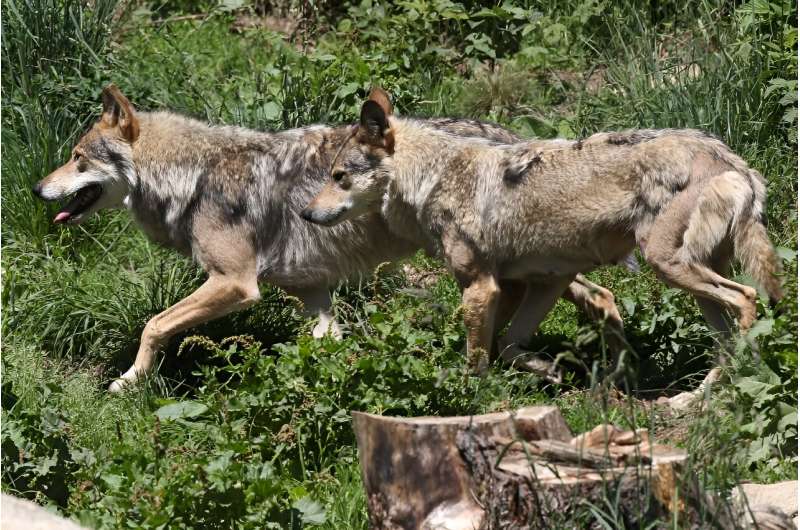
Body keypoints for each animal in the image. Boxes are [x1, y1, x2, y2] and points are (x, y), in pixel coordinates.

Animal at [33, 85, 622, 391]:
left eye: (78, 158)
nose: (37, 188)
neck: (192, 177)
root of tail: (507, 134)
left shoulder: (235, 284)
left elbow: (154, 325)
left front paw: (129, 381)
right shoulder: (313, 295)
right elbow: (326, 345)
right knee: (601, 297)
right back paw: (608, 371)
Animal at [303, 90, 783, 400]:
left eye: (339, 176)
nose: (306, 214)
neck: (433, 178)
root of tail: (728, 158)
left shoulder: (481, 288)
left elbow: (478, 359)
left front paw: (472, 402)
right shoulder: (540, 283)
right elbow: (507, 346)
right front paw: (550, 372)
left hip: (668, 265)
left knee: (747, 299)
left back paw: (727, 382)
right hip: (689, 278)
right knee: (725, 334)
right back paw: (701, 394)